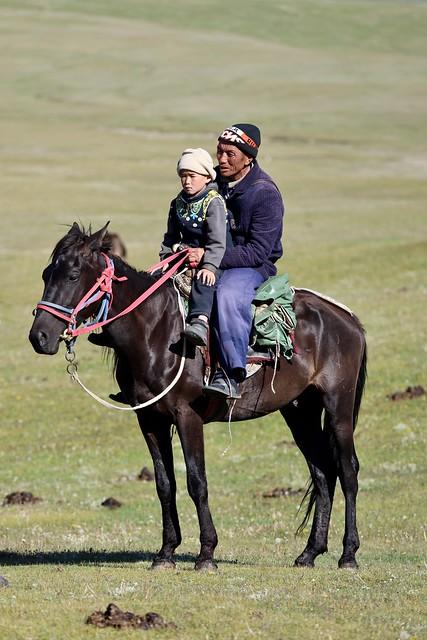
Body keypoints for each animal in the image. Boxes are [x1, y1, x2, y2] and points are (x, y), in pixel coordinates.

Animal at [29, 224, 368, 568]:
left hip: (338, 407)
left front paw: (206, 553)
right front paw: (166, 552)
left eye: (73, 276)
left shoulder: (186, 416)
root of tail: (347, 318)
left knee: (348, 471)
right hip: (300, 411)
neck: (155, 330)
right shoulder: (149, 419)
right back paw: (309, 552)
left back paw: (348, 554)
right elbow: (165, 484)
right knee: (322, 472)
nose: (38, 337)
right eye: (45, 275)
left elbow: (197, 481)